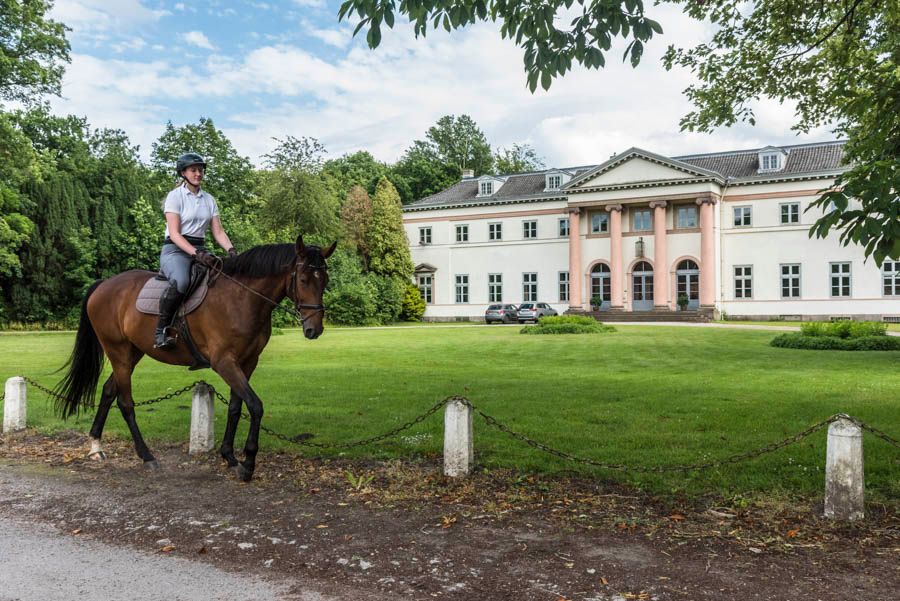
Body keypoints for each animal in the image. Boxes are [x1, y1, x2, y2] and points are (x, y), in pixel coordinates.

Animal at [56, 237, 338, 480]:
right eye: (304, 279)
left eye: (324, 280)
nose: (314, 329)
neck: (242, 298)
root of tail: (104, 285)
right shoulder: (224, 362)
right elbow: (255, 406)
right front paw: (248, 463)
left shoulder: (247, 362)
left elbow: (236, 407)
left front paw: (230, 457)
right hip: (119, 352)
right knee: (125, 404)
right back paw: (147, 456)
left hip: (131, 354)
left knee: (107, 391)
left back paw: (96, 446)